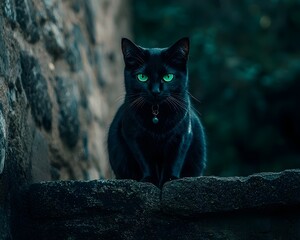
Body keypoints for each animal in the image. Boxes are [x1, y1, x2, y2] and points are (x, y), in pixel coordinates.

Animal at [108, 37, 206, 188]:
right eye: (142, 77)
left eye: (168, 77)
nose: (155, 91)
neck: (157, 113)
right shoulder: (133, 136)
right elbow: (145, 160)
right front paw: (149, 180)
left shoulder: (182, 135)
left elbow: (174, 160)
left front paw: (170, 179)